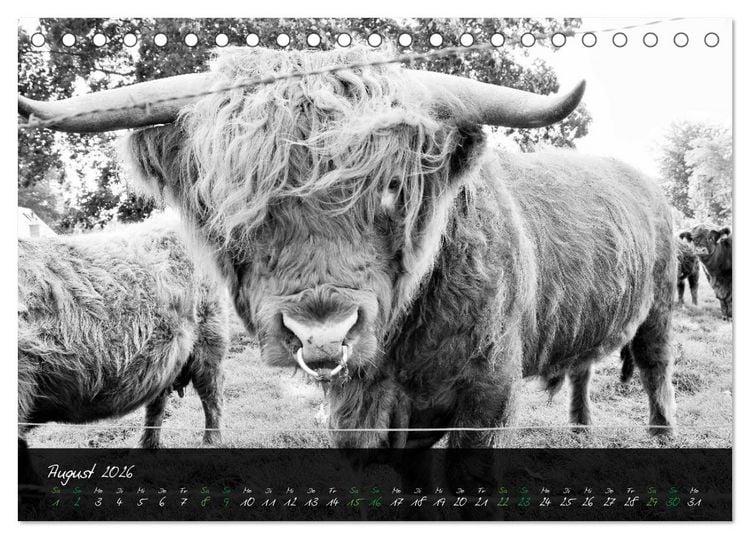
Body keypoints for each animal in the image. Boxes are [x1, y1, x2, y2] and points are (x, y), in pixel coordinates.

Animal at [18, 217, 229, 448]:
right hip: (166, 358)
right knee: (158, 401)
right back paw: (148, 445)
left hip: (210, 340)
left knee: (212, 395)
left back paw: (211, 442)